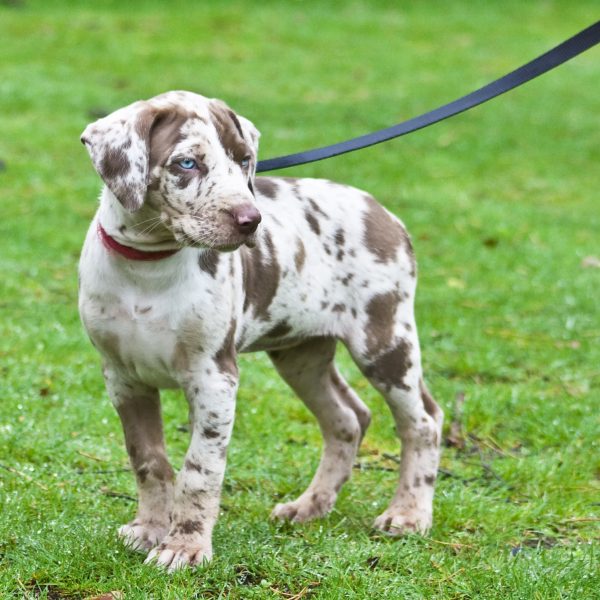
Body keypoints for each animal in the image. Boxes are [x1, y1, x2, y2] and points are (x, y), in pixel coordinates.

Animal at [77, 90, 442, 572]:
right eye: (187, 164)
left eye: (244, 160)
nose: (251, 220)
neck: (148, 267)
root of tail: (383, 213)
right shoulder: (123, 377)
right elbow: (149, 460)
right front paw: (150, 529)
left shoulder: (214, 377)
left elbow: (199, 470)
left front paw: (184, 547)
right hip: (301, 354)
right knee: (347, 418)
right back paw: (310, 506)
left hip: (384, 341)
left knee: (423, 422)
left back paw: (408, 514)